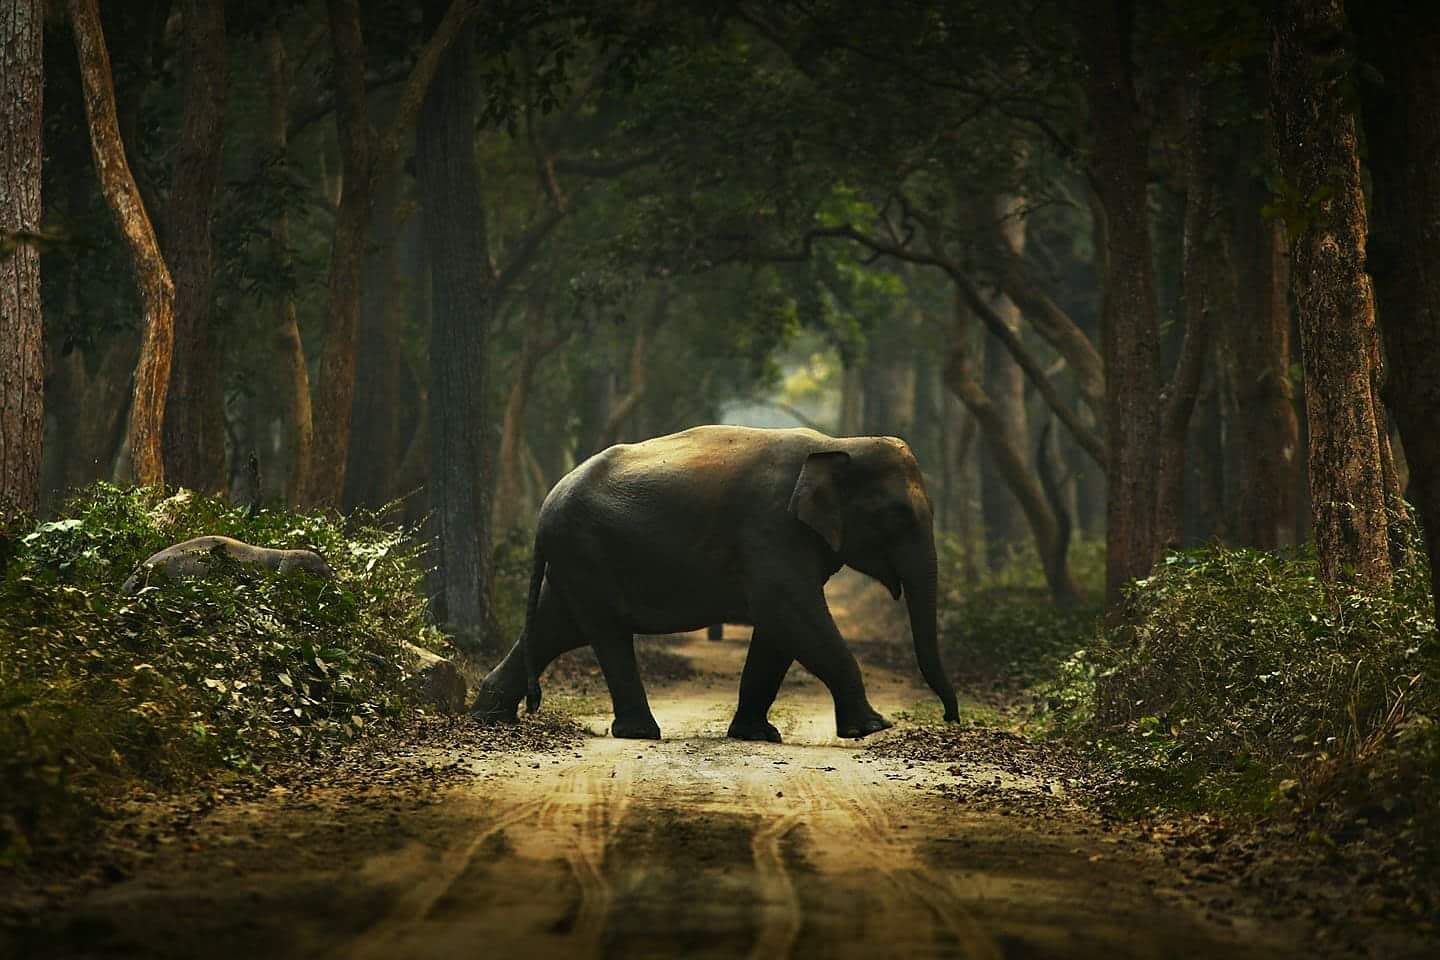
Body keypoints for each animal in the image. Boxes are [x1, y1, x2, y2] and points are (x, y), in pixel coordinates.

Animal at [471, 425, 959, 741]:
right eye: (897, 516)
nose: (950, 719)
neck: (837, 445)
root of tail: (545, 507)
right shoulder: (771, 529)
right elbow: (788, 611)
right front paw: (872, 728)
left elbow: (780, 629)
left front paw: (757, 735)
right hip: (585, 553)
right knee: (603, 633)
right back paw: (640, 733)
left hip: (576, 561)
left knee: (558, 626)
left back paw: (488, 717)